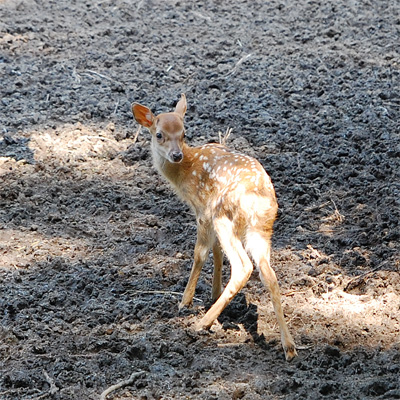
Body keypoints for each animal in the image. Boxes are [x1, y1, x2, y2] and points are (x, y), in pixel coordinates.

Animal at [132, 95, 296, 360]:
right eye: (159, 134)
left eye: (184, 133)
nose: (176, 155)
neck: (186, 171)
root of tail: (259, 198)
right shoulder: (209, 216)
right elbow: (217, 252)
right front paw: (214, 292)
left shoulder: (203, 211)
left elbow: (200, 253)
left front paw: (185, 302)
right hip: (260, 229)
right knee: (268, 273)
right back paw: (289, 347)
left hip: (224, 216)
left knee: (244, 266)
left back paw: (203, 323)